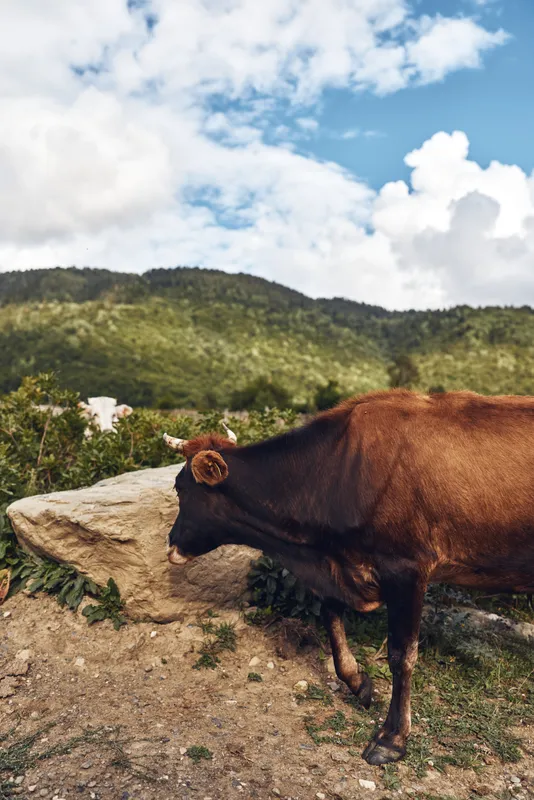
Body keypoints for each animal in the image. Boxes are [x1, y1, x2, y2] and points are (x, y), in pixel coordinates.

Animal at [162, 390, 534, 765]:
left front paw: (392, 738)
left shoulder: (406, 567)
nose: (171, 542)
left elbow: (402, 654)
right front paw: (357, 681)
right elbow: (330, 615)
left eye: (180, 487)